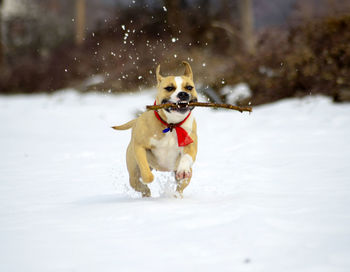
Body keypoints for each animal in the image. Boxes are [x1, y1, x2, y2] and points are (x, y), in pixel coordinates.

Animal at [113, 61, 198, 198]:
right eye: (169, 88)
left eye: (189, 87)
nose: (183, 94)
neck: (171, 125)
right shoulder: (140, 147)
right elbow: (146, 173)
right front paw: (146, 179)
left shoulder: (190, 144)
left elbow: (187, 157)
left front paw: (183, 170)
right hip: (133, 172)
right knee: (137, 182)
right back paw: (145, 192)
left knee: (180, 187)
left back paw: (176, 195)